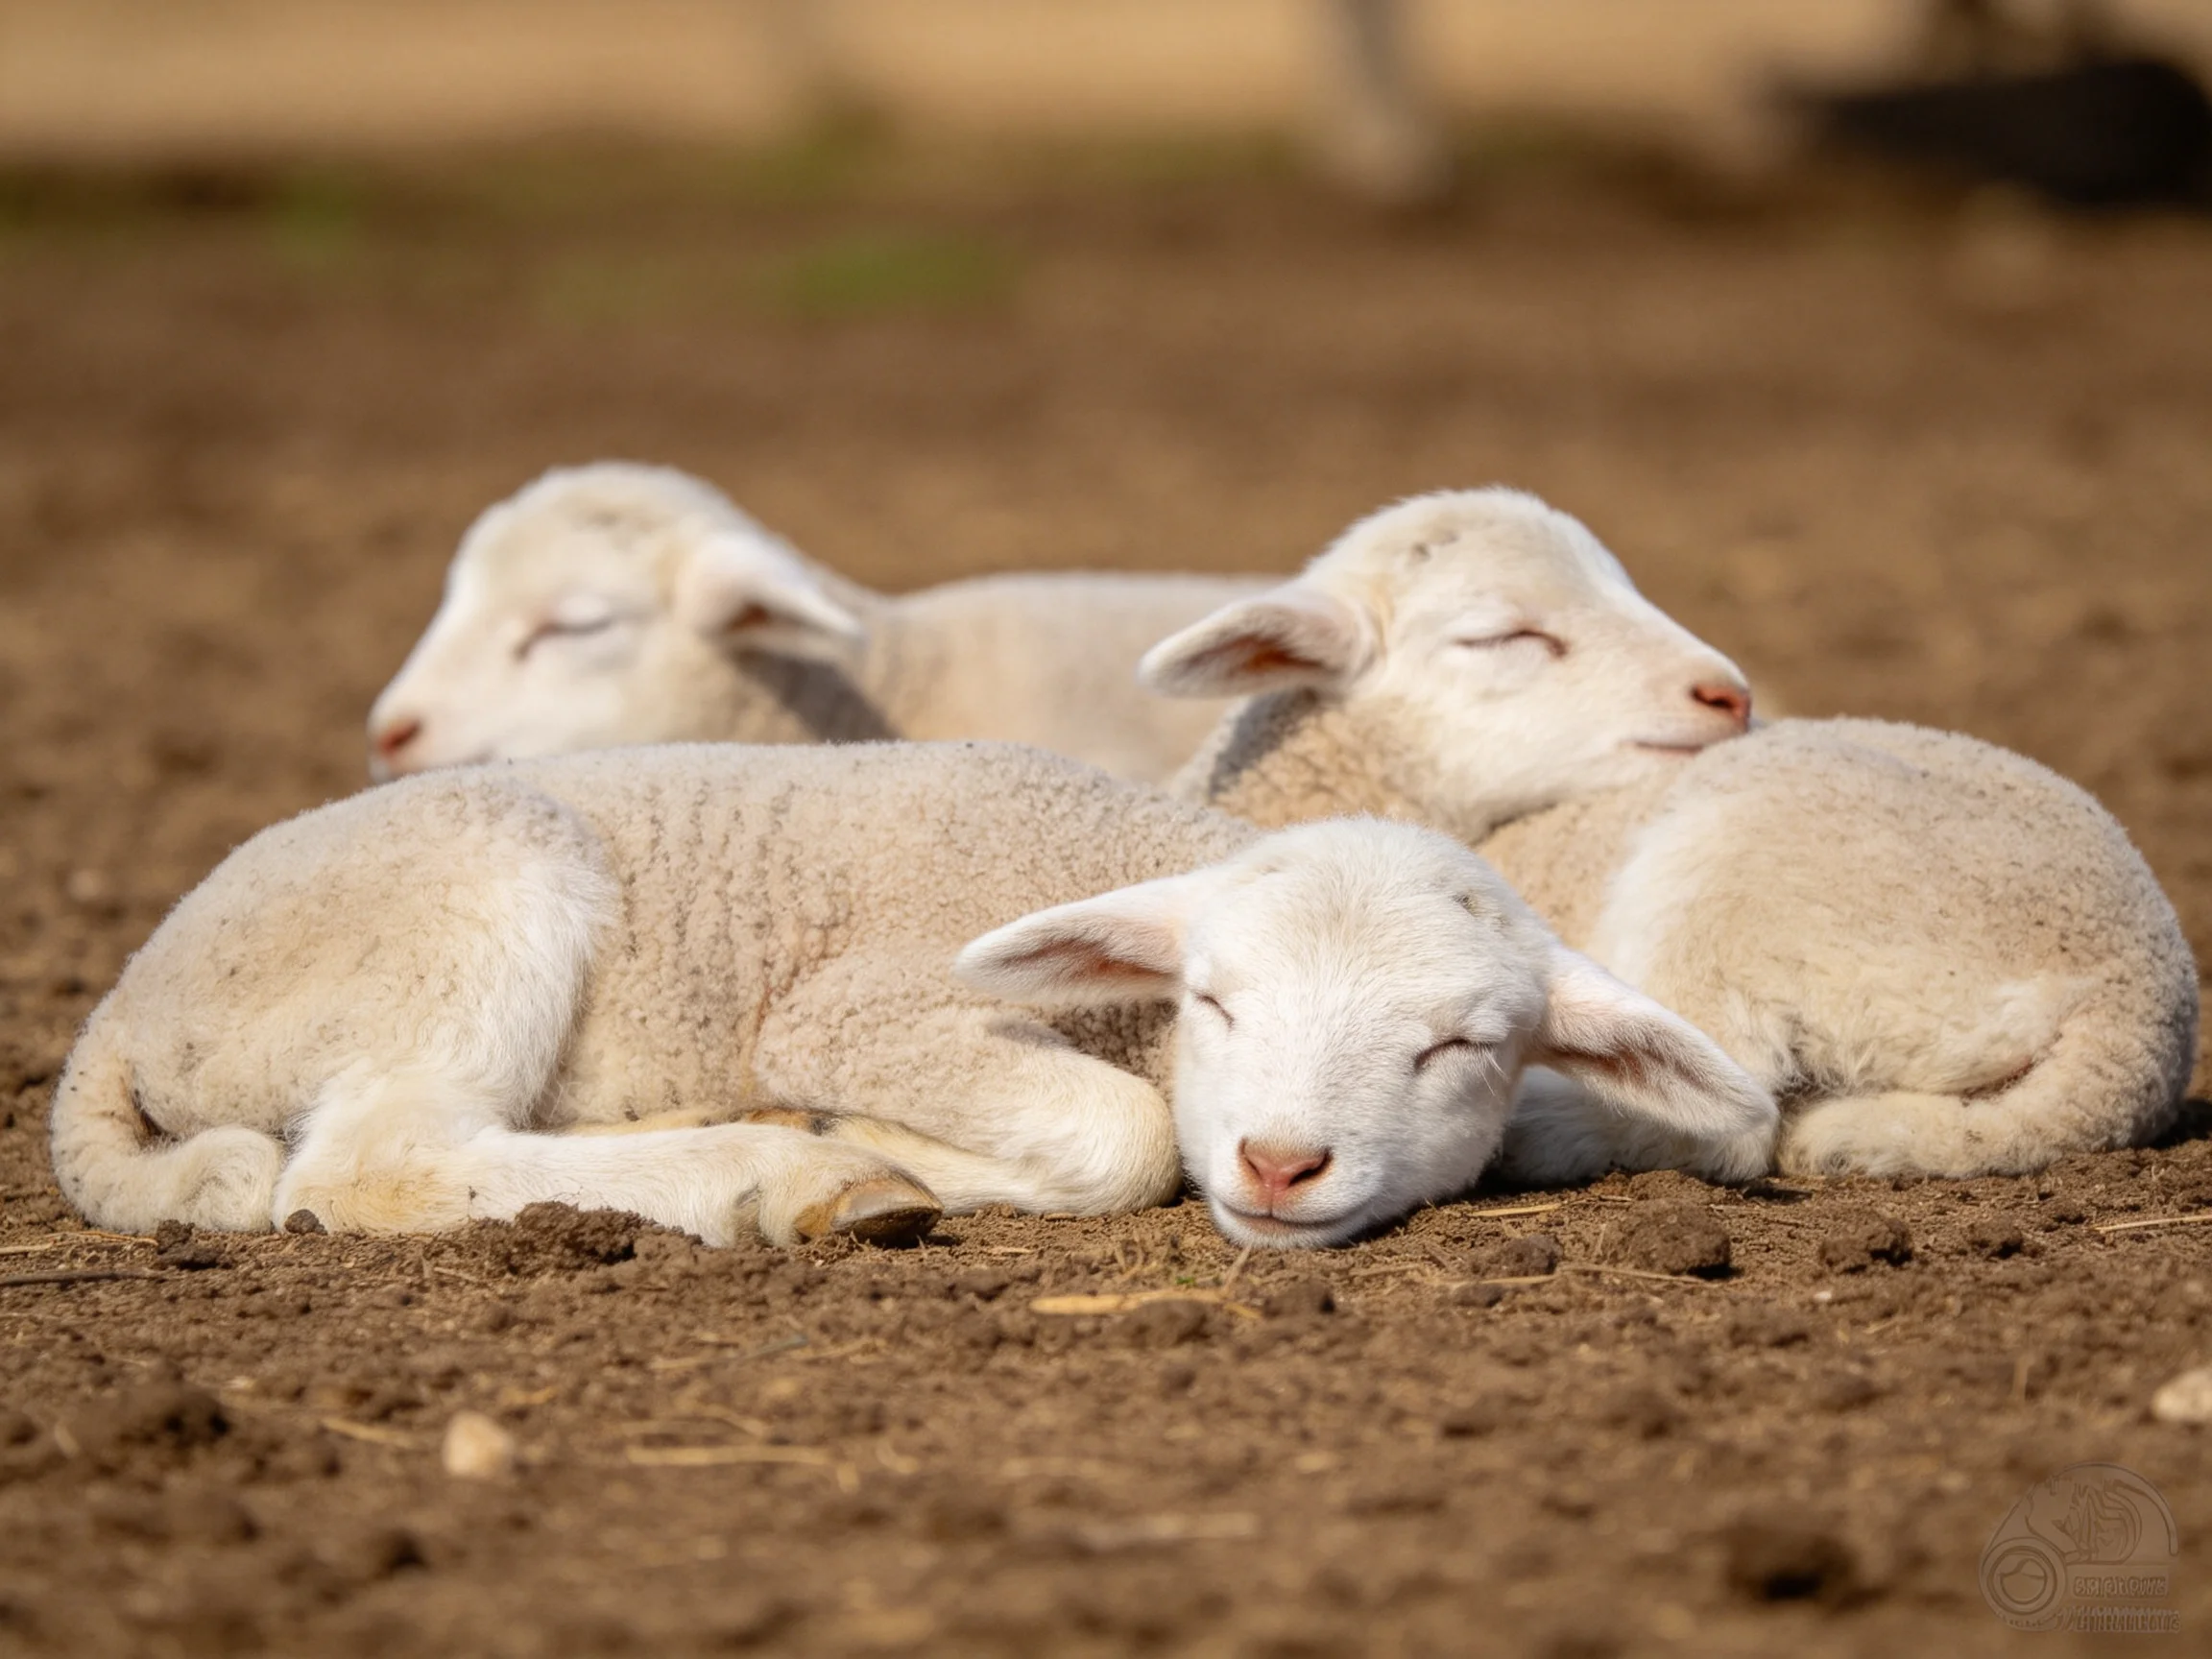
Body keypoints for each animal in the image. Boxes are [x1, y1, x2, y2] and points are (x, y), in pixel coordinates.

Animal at [48, 742, 1775, 1250]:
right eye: (1212, 1001)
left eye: (1459, 1047)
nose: (1282, 1163)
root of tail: (126, 1006)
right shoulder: (853, 1008)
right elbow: (1119, 1135)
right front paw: (871, 1149)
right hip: (476, 898)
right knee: (370, 1162)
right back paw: (779, 1172)